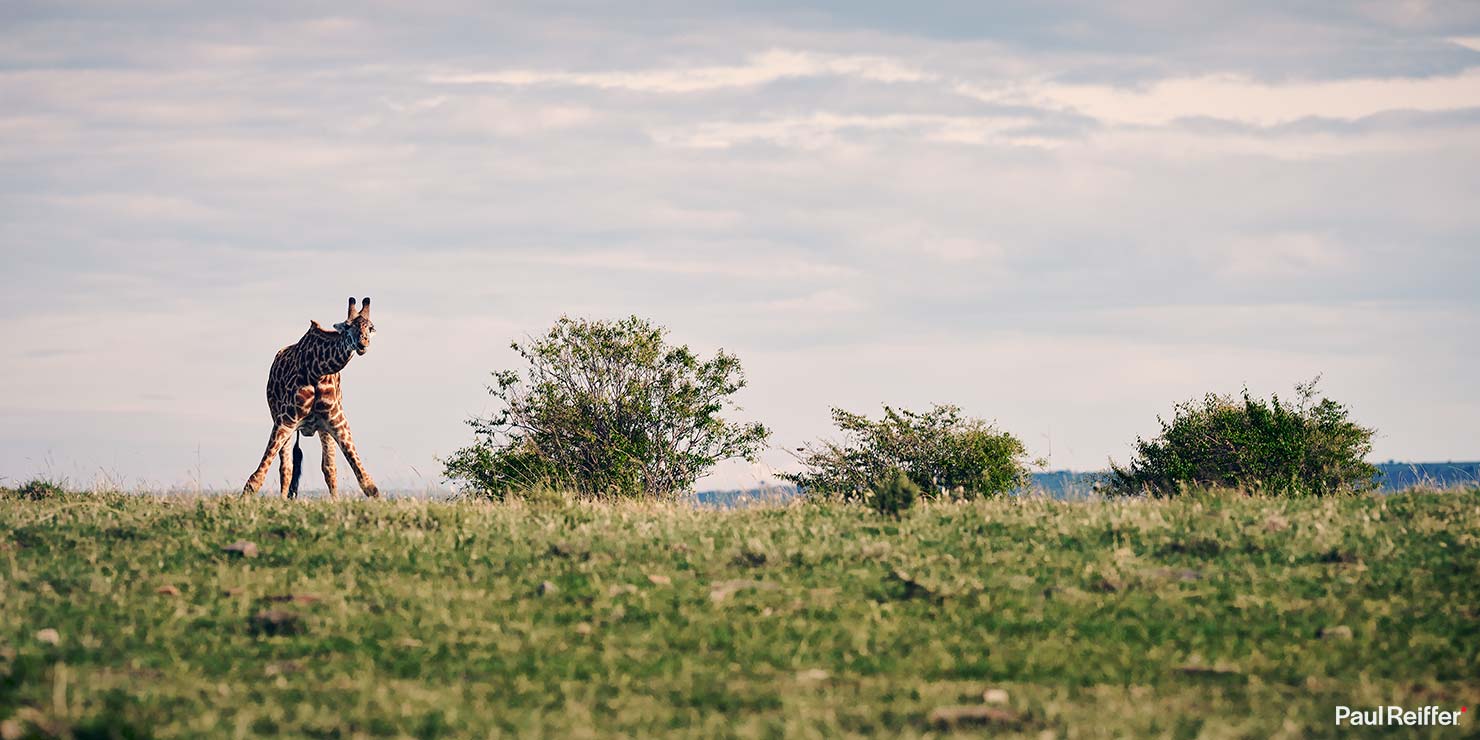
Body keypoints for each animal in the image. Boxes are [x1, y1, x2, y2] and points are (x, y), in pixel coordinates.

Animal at [242, 297, 380, 499]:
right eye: (347, 327)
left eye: (370, 327)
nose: (363, 344)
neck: (318, 370)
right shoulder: (285, 420)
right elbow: (258, 476)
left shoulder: (338, 422)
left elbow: (365, 481)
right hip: (279, 418)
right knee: (286, 467)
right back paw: (282, 500)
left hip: (323, 429)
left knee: (329, 468)